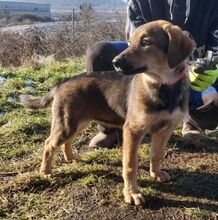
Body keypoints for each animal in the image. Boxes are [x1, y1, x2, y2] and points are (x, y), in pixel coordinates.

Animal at [19, 19, 195, 205]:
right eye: (129, 42)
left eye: (146, 42)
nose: (115, 62)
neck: (164, 85)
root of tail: (63, 81)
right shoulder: (132, 130)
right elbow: (130, 165)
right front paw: (131, 193)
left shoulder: (164, 130)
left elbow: (157, 154)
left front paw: (156, 174)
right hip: (67, 124)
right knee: (49, 144)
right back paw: (45, 172)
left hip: (78, 122)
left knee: (67, 141)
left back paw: (70, 158)